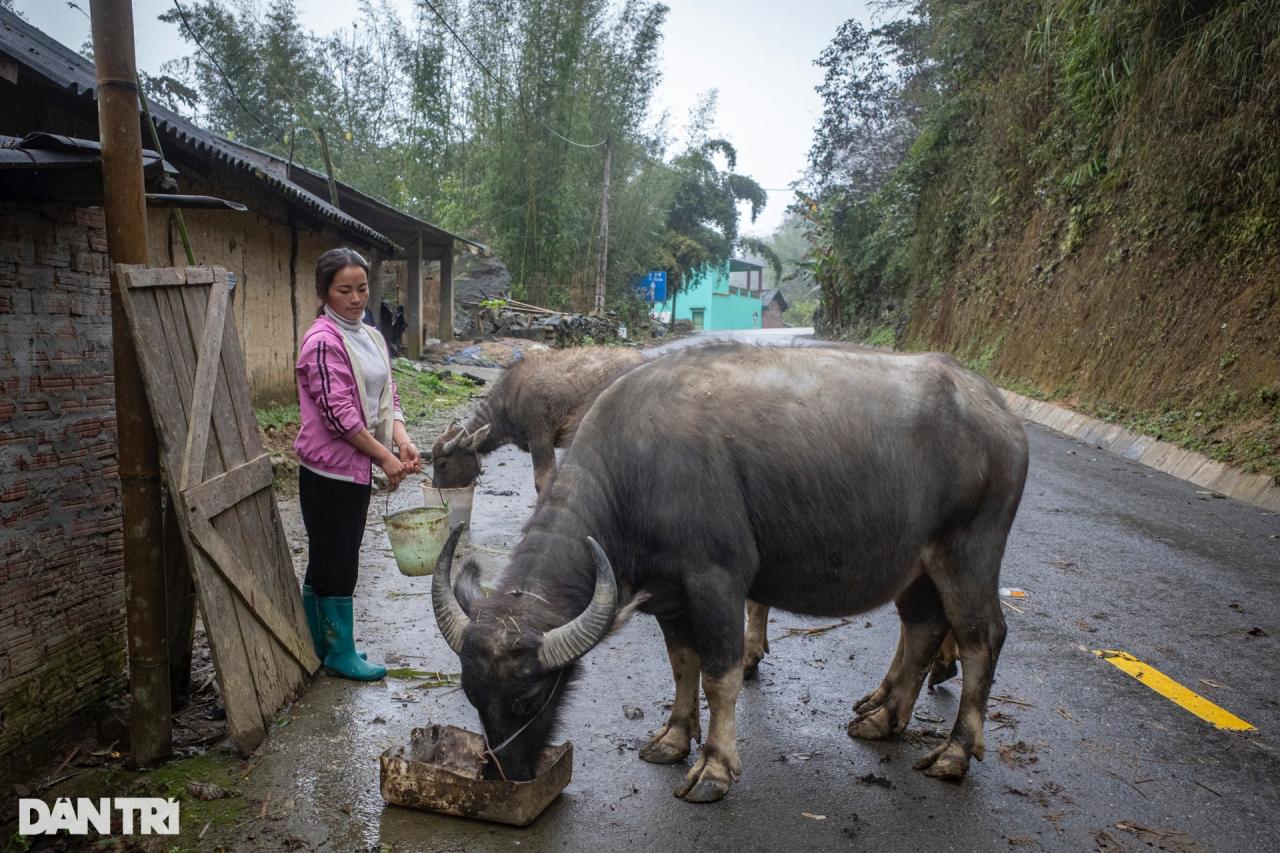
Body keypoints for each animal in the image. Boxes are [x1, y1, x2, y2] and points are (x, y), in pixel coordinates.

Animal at [430, 338, 1018, 799]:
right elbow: (682, 663)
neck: (638, 471)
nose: (507, 774)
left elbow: (720, 674)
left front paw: (714, 767)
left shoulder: (716, 581)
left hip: (969, 553)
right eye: (472, 696)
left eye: (529, 698)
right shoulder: (668, 595)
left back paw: (955, 752)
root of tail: (997, 410)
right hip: (917, 566)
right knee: (922, 629)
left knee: (981, 637)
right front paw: (672, 739)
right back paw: (883, 719)